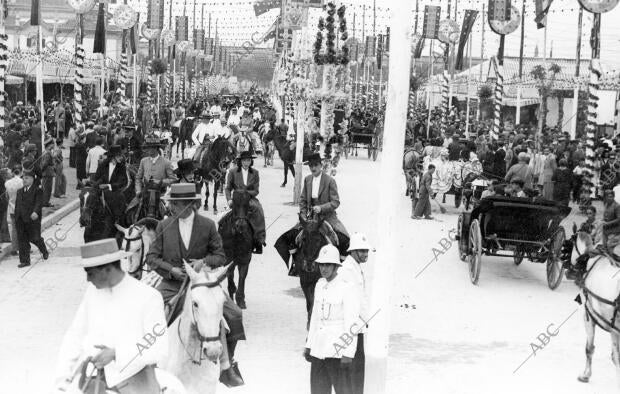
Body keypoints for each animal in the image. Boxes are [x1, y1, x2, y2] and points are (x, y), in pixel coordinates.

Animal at [568, 231, 620, 388]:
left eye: (569, 246)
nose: (569, 271)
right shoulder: (613, 328)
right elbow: (616, 356)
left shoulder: (588, 315)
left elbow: (589, 349)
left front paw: (586, 375)